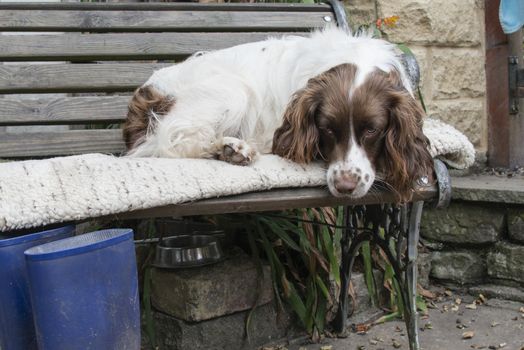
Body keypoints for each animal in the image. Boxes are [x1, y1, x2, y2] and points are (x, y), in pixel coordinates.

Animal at [124, 27, 434, 201]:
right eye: (327, 128)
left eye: (372, 130)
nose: (345, 187)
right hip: (233, 91)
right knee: (174, 142)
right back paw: (231, 149)